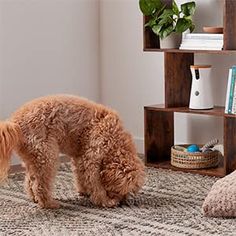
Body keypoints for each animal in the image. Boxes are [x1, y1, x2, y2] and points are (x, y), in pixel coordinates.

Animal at [0, 94, 145, 208]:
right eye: (121, 190)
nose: (122, 202)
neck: (115, 139)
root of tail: (15, 122)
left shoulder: (79, 157)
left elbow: (81, 177)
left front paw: (84, 192)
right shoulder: (91, 158)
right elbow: (95, 183)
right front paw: (105, 201)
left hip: (34, 158)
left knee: (30, 181)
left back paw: (34, 198)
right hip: (47, 156)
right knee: (40, 184)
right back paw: (48, 203)